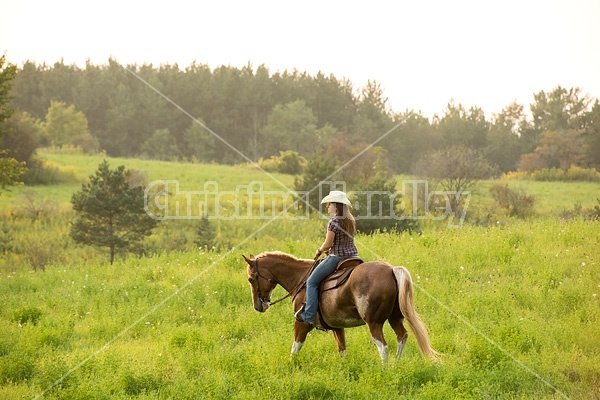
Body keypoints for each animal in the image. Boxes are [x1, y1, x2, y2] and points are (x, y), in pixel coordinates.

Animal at [241, 252, 438, 364]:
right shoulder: (337, 327)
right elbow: (342, 350)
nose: (258, 306)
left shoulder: (302, 324)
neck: (301, 279)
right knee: (402, 337)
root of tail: (391, 270)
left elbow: (295, 348)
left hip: (374, 323)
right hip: (395, 318)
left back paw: (385, 371)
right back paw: (396, 365)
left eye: (251, 279)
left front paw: (290, 366)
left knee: (383, 347)